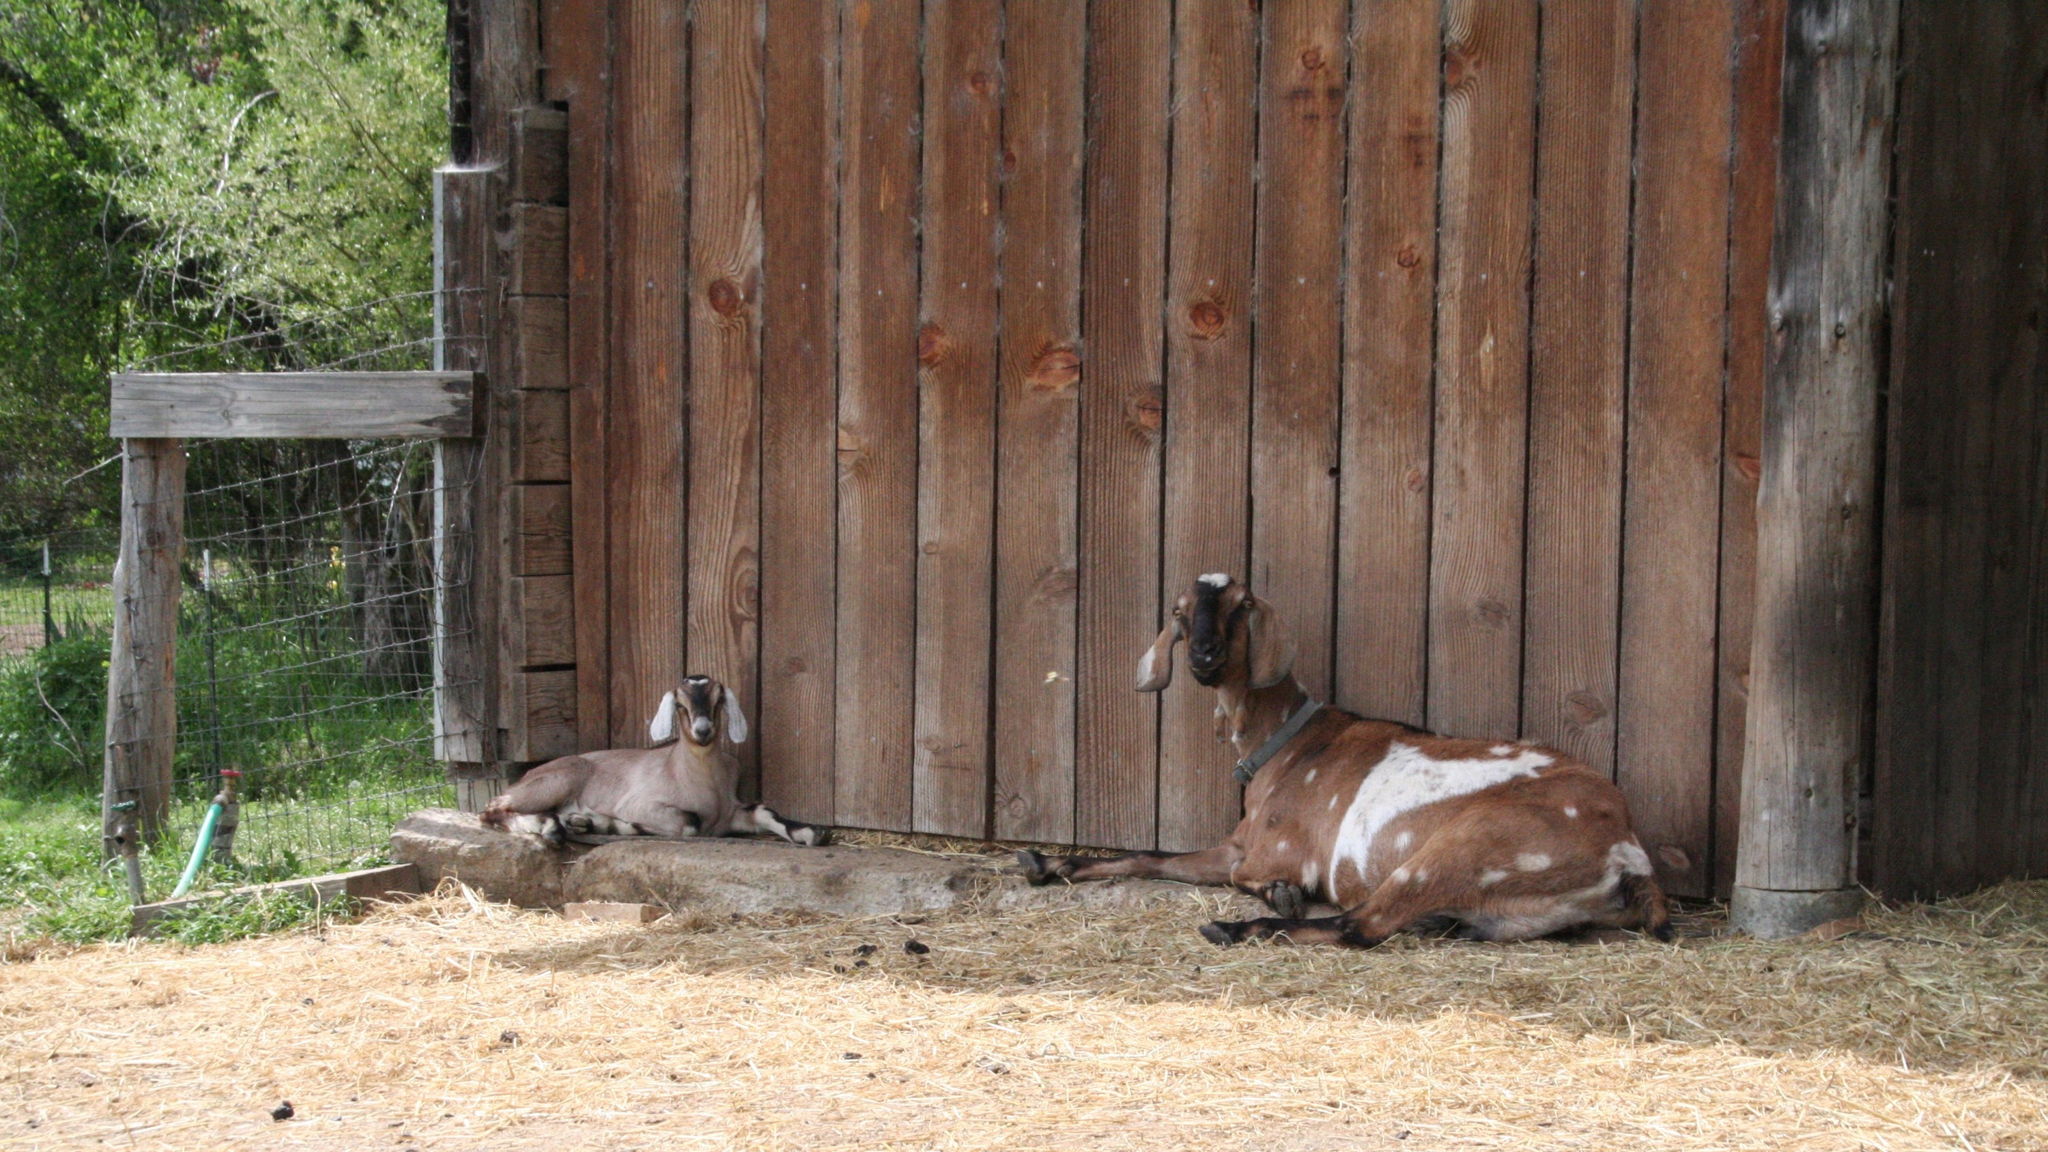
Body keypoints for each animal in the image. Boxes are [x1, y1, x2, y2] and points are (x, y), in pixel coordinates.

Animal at [480, 674, 826, 848]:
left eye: (717, 700)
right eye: (681, 704)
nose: (703, 731)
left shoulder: (732, 813)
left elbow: (764, 810)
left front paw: (811, 833)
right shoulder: (642, 803)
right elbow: (689, 822)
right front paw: (626, 825)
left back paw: (581, 822)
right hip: (557, 780)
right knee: (492, 809)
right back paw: (551, 827)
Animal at [1017, 574, 1672, 948]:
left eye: (1242, 604)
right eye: (1180, 611)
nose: (1203, 654)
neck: (1287, 745)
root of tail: (1627, 851)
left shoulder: (1272, 852)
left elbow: (1246, 876)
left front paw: (1278, 895)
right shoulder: (1238, 845)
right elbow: (1154, 857)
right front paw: (1045, 863)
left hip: (1466, 846)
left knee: (1363, 926)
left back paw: (1236, 928)